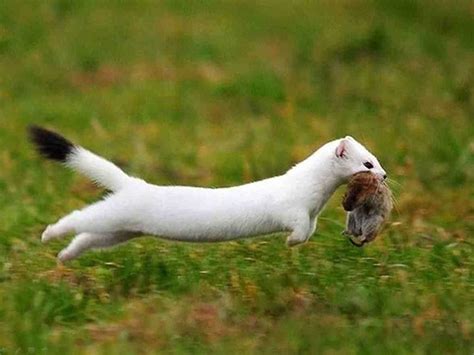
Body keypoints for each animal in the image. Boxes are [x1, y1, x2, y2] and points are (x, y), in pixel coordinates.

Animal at [27, 126, 386, 262]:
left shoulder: (312, 216)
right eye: (367, 162)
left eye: (376, 157)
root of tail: (134, 184)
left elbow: (310, 230)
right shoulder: (292, 209)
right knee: (78, 219)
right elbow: (296, 228)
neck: (314, 198)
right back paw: (48, 234)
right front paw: (290, 242)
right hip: (115, 215)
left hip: (122, 229)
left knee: (88, 238)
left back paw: (64, 256)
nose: (385, 174)